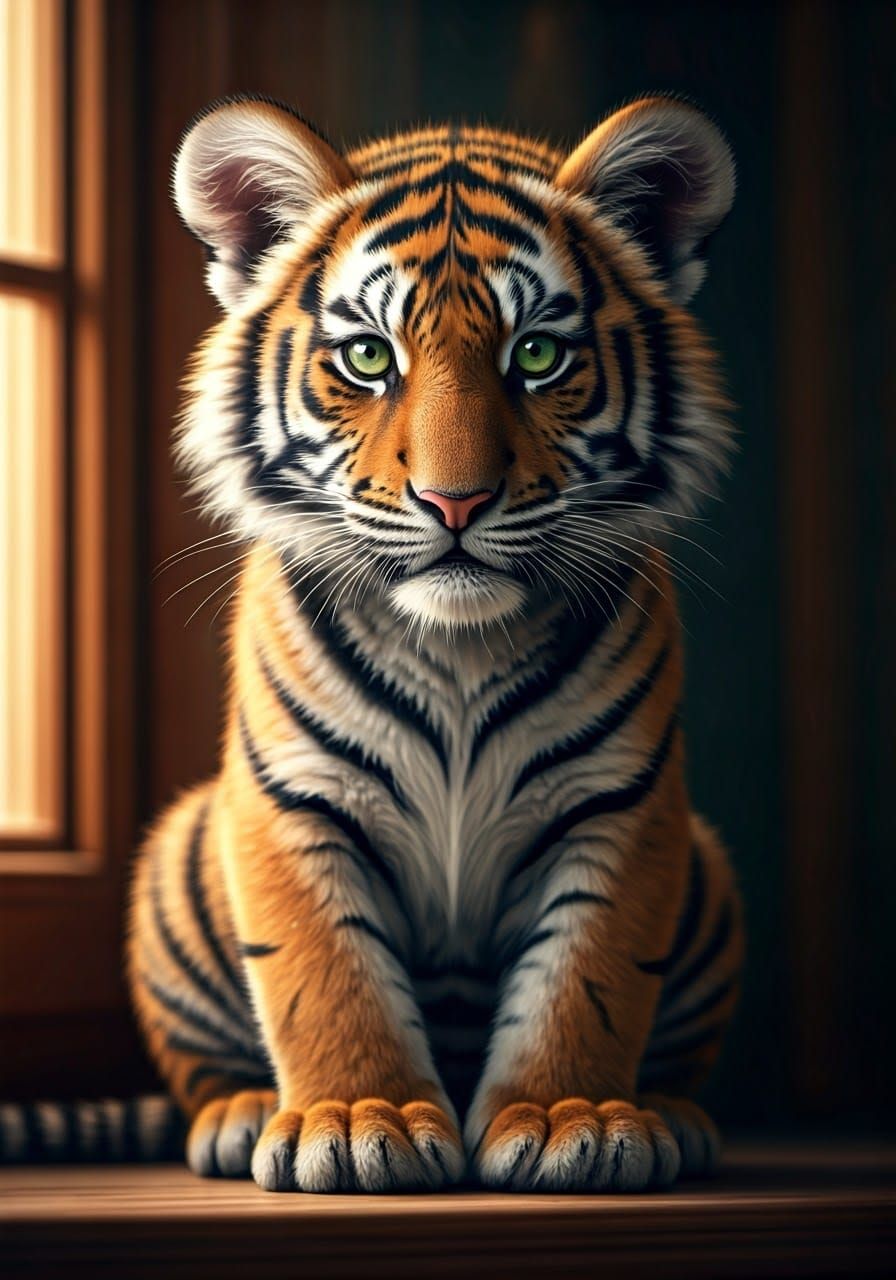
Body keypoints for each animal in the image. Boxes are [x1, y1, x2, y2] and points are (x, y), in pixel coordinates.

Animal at [2, 94, 743, 1192]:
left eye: (536, 355)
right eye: (367, 356)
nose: (455, 501)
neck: (459, 648)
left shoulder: (620, 805)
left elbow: (586, 980)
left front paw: (567, 1117)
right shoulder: (293, 799)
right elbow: (325, 974)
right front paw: (357, 1121)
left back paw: (671, 1114)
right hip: (178, 850)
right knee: (207, 1068)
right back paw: (242, 1112)